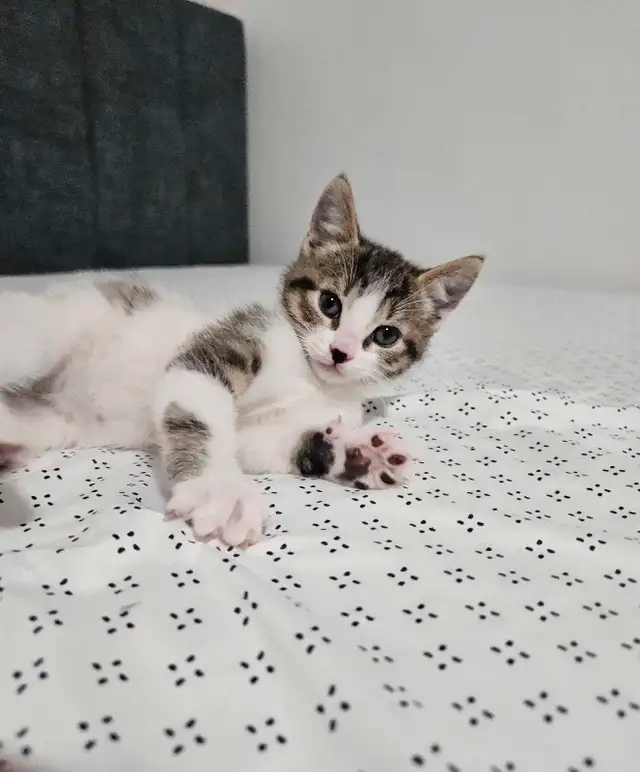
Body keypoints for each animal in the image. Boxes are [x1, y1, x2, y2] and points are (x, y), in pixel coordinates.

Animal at [0, 174, 483, 548]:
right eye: (329, 303)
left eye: (385, 335)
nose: (340, 352)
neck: (311, 379)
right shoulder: (223, 345)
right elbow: (203, 413)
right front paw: (221, 489)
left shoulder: (291, 422)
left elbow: (271, 444)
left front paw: (358, 453)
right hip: (42, 335)